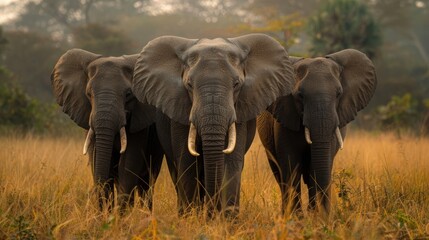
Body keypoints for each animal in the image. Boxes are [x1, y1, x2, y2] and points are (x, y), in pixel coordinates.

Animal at [50, 48, 164, 210]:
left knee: (146, 182)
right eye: (88, 94)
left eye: (128, 94)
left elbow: (127, 167)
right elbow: (98, 162)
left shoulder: (139, 123)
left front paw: (120, 216)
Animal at [132, 32, 296, 217]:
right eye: (189, 85)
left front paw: (226, 219)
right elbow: (187, 163)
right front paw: (191, 218)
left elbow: (231, 162)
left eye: (236, 84)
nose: (211, 213)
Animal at [256, 48, 376, 214]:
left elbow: (316, 167)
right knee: (279, 174)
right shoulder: (285, 119)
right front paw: (297, 218)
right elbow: (291, 165)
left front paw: (315, 216)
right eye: (300, 95)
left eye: (339, 94)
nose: (326, 214)